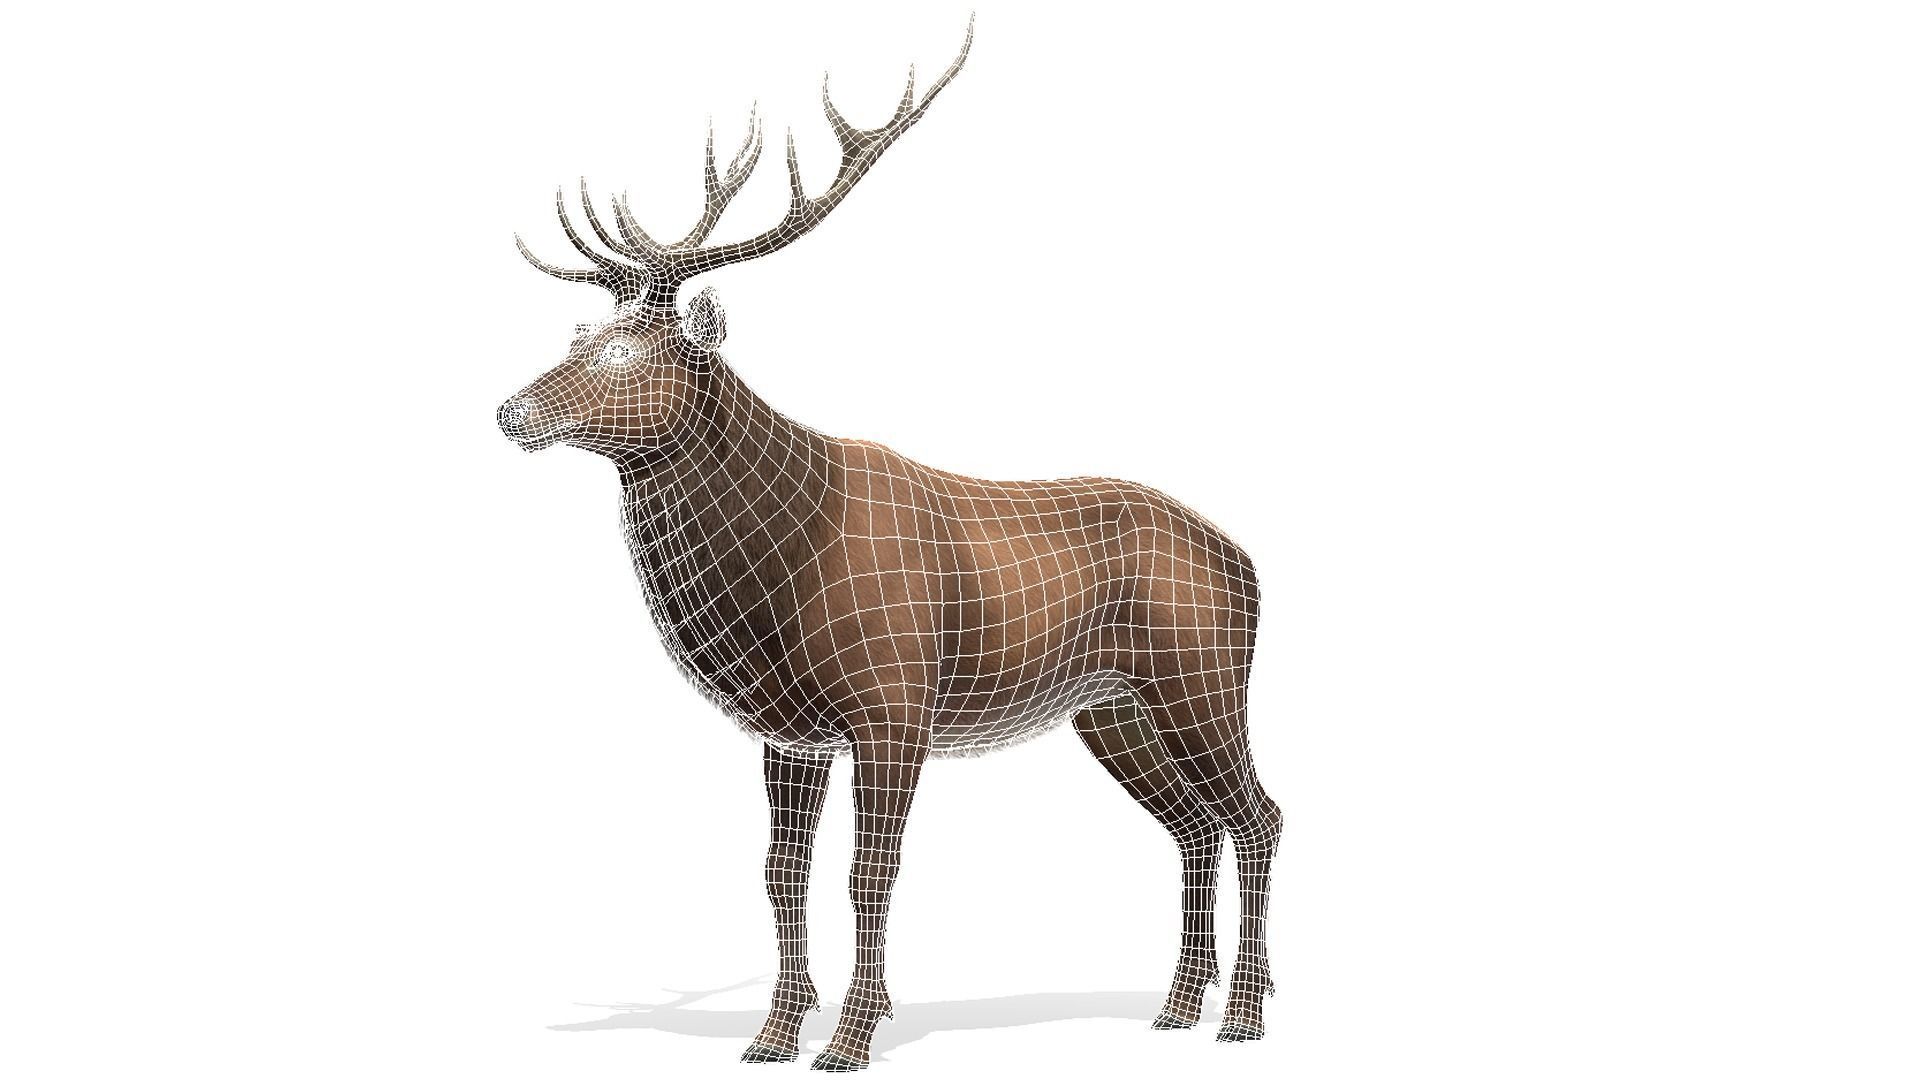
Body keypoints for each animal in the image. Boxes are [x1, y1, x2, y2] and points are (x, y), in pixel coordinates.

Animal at [496, 20, 1282, 1070]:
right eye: (578, 336)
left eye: (627, 352)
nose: (510, 410)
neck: (773, 576)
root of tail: (1252, 564)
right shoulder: (789, 730)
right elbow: (779, 869)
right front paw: (773, 1032)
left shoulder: (892, 705)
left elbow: (872, 870)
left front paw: (853, 1034)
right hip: (1111, 709)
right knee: (1196, 827)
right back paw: (1178, 1002)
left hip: (1201, 673)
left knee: (1259, 815)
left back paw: (1244, 1011)